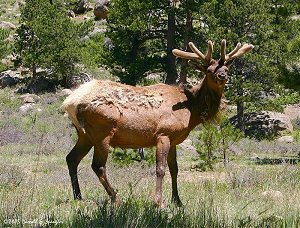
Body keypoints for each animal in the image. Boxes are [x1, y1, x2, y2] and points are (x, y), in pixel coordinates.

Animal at [63, 40, 253, 208]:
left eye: (226, 68)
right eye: (209, 70)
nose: (222, 76)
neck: (192, 109)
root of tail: (69, 102)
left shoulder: (174, 140)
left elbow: (174, 169)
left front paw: (177, 201)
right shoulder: (163, 134)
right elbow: (160, 169)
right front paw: (159, 202)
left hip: (85, 135)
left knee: (71, 158)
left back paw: (78, 197)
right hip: (102, 132)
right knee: (98, 166)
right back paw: (115, 198)